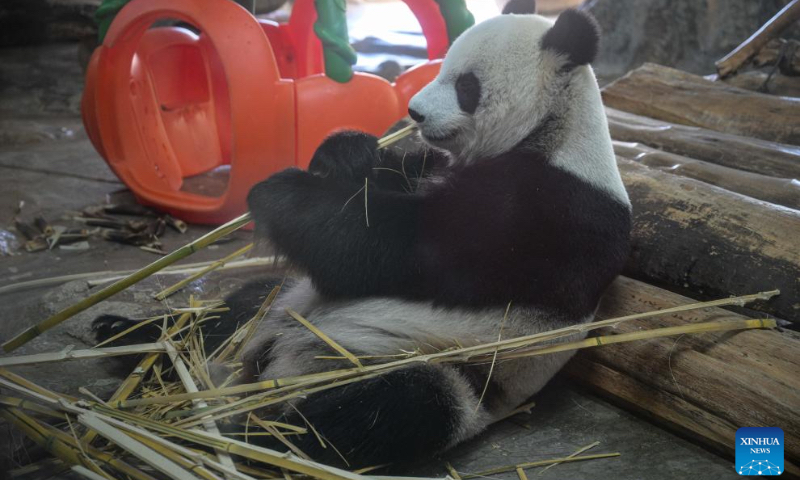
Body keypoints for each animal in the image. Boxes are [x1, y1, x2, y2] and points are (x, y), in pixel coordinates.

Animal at [94, 0, 632, 468]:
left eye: (466, 85)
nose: (414, 112)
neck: (555, 128)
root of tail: (269, 363)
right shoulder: (442, 165)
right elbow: (391, 181)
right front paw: (345, 151)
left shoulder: (552, 211)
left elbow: (404, 247)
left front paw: (279, 193)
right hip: (286, 301)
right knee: (233, 310)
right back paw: (127, 336)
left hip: (438, 365)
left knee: (387, 410)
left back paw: (256, 432)